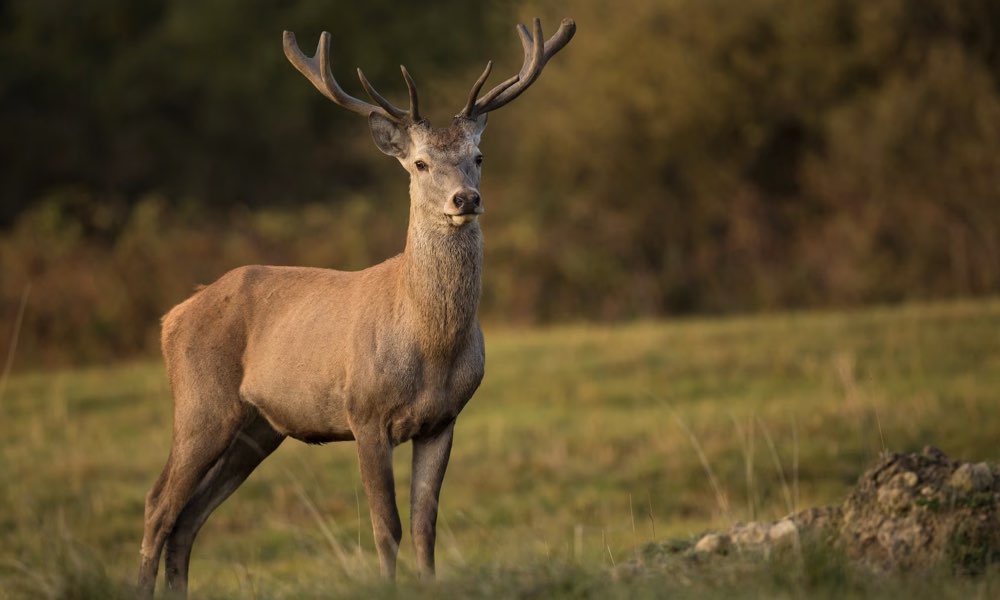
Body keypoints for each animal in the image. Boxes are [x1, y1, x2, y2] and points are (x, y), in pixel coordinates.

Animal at [136, 17, 575, 598]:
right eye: (420, 163)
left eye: (478, 158)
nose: (466, 199)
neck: (431, 346)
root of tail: (172, 317)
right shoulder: (364, 412)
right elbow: (386, 525)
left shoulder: (444, 419)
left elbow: (425, 523)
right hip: (200, 403)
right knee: (159, 504)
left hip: (258, 427)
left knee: (189, 518)